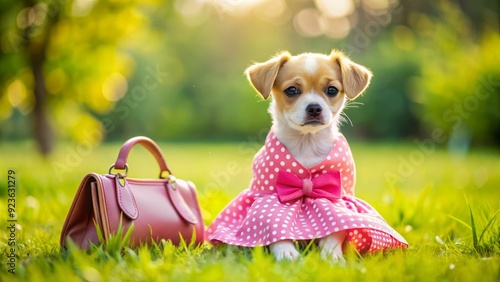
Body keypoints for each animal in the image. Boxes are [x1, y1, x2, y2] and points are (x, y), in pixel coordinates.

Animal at [246, 49, 372, 262]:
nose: (314, 108)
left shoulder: (335, 198)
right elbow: (274, 226)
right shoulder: (270, 196)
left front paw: (332, 255)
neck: (307, 144)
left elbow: (335, 228)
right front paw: (285, 252)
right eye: (291, 90)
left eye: (332, 90)